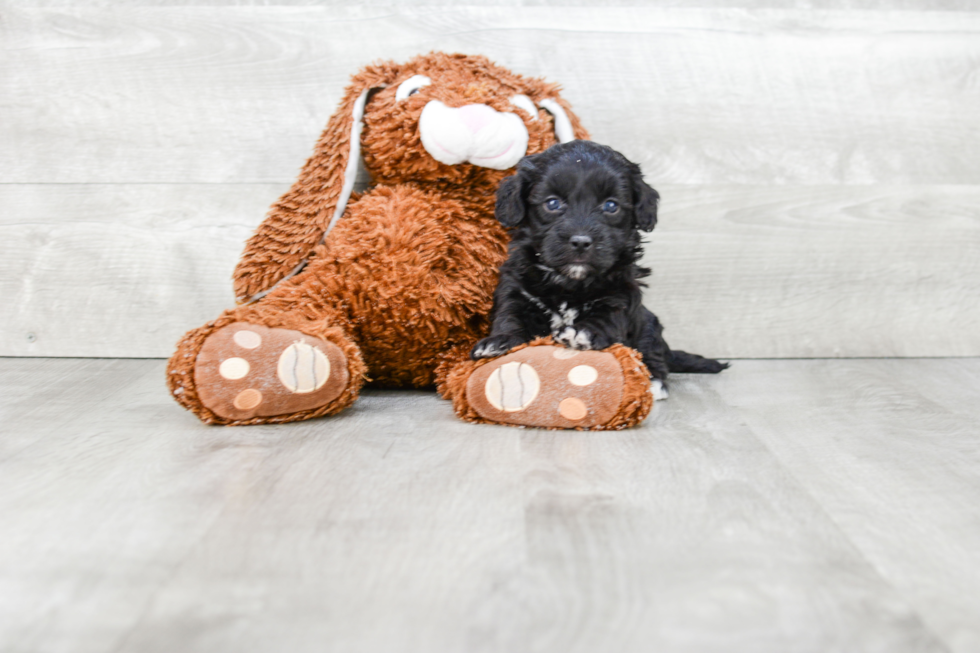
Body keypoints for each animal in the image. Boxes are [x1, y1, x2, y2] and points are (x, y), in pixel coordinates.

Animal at [470, 141, 724, 398]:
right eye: (552, 203)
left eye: (611, 206)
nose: (581, 241)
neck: (569, 283)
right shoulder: (515, 290)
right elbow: (510, 316)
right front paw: (500, 341)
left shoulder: (620, 295)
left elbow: (605, 318)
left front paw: (581, 333)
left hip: (649, 324)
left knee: (653, 352)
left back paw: (654, 382)